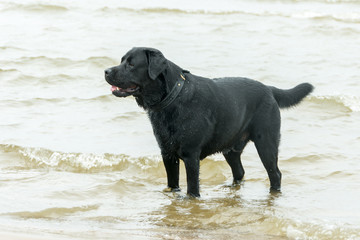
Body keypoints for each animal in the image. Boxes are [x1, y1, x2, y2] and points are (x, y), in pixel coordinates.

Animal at [104, 47, 312, 197]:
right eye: (122, 60)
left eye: (131, 64)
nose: (106, 70)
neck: (173, 98)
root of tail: (269, 89)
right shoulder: (167, 154)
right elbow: (173, 185)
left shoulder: (190, 155)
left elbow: (192, 190)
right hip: (231, 148)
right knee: (239, 172)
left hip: (266, 143)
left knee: (275, 173)